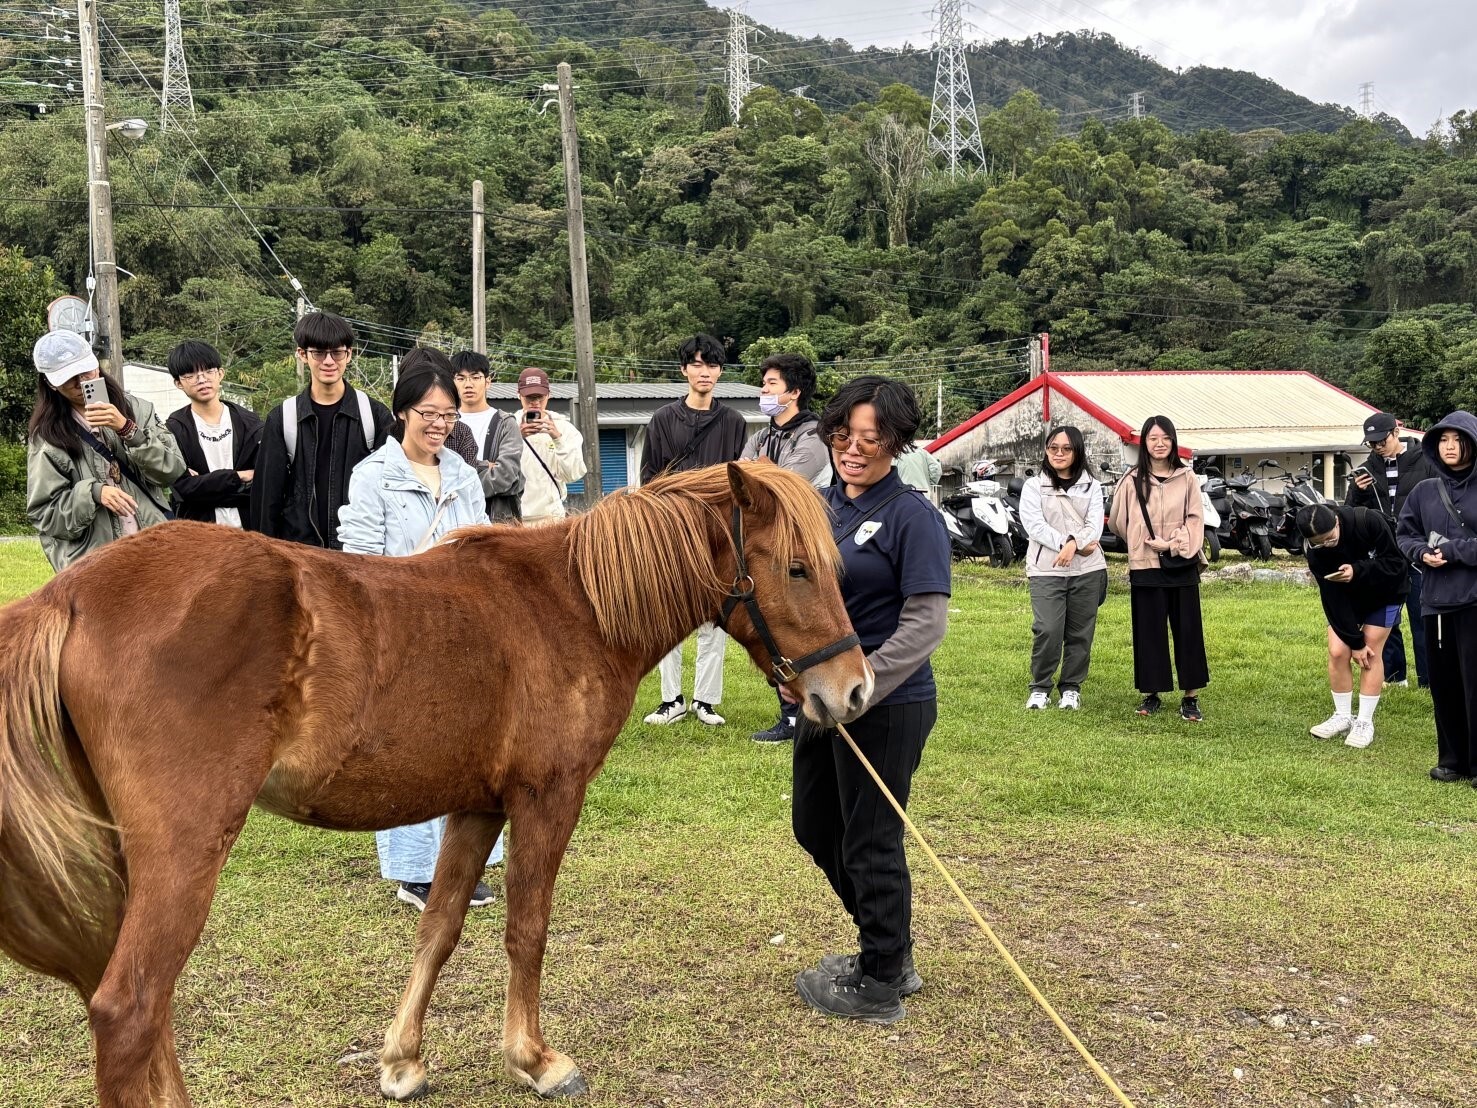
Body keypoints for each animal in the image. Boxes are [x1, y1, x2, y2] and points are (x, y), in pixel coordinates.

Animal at [0, 460, 871, 1107]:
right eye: (796, 569)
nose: (854, 692)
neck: (575, 606)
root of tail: (70, 592)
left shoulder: (476, 807)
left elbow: (440, 930)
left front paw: (402, 1059)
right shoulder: (547, 798)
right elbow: (526, 928)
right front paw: (534, 1058)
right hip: (187, 853)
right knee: (130, 1008)